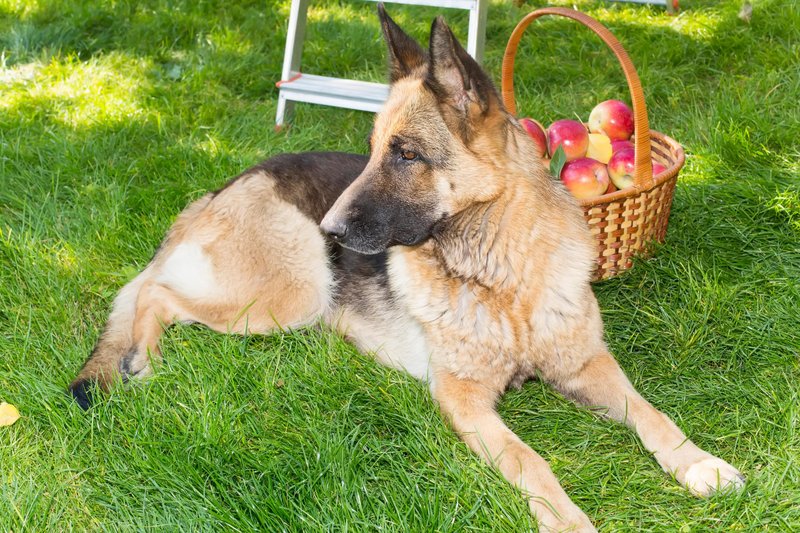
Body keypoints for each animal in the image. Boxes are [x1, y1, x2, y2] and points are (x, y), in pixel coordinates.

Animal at [69, 6, 744, 528]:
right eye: (372, 151)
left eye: (407, 154)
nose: (332, 231)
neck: (501, 277)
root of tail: (216, 191)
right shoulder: (466, 402)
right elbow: (533, 462)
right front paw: (569, 520)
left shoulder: (588, 364)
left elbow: (652, 413)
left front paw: (699, 463)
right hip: (293, 293)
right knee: (155, 293)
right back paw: (145, 359)